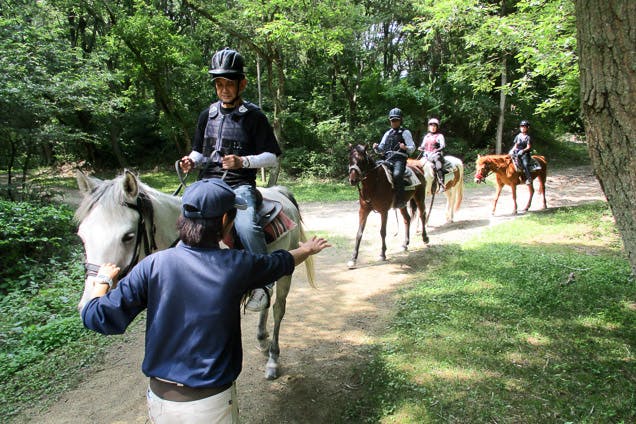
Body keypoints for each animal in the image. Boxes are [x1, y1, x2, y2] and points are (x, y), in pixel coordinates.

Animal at [74, 171, 316, 380]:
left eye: (128, 236)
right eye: (82, 236)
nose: (87, 303)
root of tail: (278, 191)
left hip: (286, 273)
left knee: (278, 309)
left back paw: (273, 358)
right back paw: (262, 341)